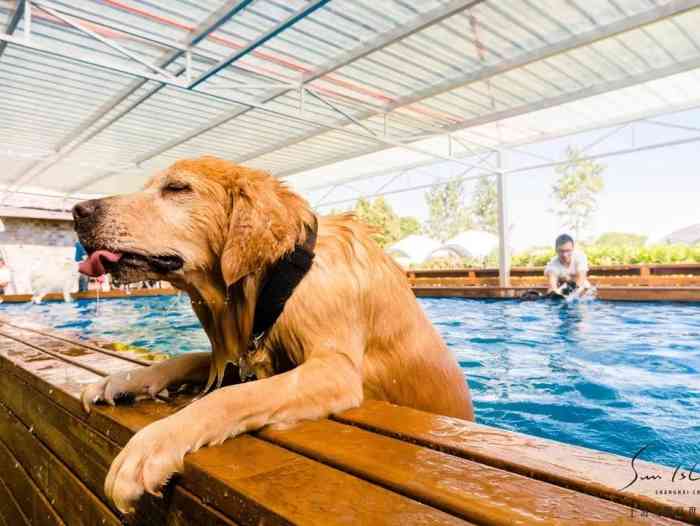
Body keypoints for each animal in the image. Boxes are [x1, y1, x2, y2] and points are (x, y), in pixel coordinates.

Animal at [74, 157, 474, 516]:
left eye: (177, 188)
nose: (78, 210)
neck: (284, 278)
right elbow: (187, 360)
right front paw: (124, 379)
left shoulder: (336, 371)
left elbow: (228, 397)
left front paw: (152, 444)